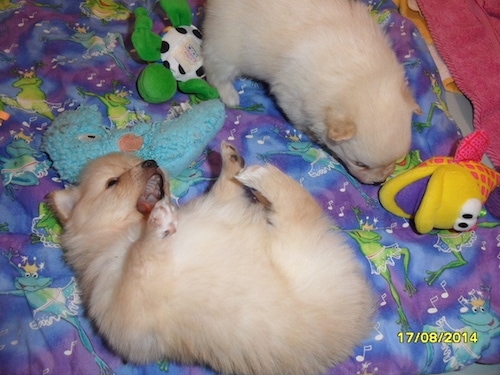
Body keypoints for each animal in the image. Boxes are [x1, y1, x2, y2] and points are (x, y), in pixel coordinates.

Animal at [49, 142, 376, 374]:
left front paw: (228, 165)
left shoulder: (219, 205)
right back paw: (263, 178)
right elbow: (140, 257)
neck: (125, 231)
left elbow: (223, 190)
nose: (150, 161)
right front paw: (159, 224)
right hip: (298, 249)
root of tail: (362, 318)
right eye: (112, 182)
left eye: (136, 161)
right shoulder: (127, 310)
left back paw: (252, 177)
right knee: (297, 205)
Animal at [201, 0, 420, 184]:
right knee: (215, 72)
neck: (360, 76)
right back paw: (230, 95)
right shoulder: (292, 95)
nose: (379, 182)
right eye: (360, 164)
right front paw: (312, 134)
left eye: (397, 160)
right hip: (226, 49)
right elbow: (300, 119)